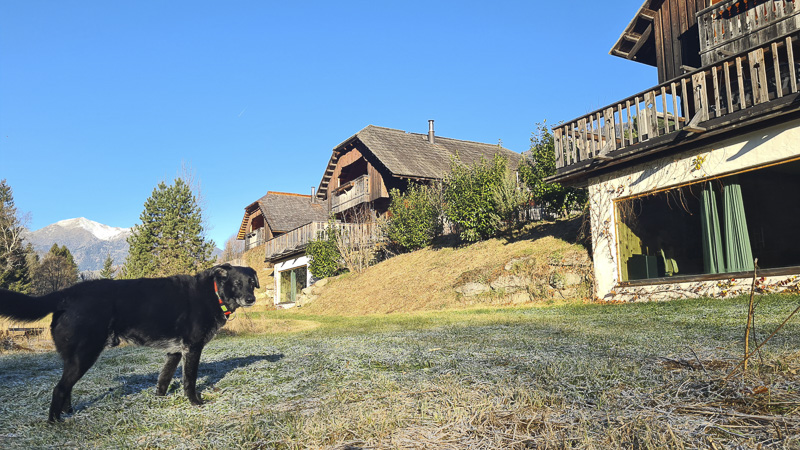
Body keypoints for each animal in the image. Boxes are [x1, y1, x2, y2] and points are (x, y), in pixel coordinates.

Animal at [0, 264, 258, 422]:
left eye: (251, 282)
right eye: (236, 283)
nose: (251, 299)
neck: (213, 293)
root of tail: (66, 294)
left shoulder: (174, 352)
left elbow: (163, 379)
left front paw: (159, 399)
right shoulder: (192, 349)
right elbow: (190, 381)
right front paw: (195, 403)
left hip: (74, 358)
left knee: (67, 388)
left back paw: (69, 413)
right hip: (85, 355)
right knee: (59, 388)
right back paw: (55, 422)